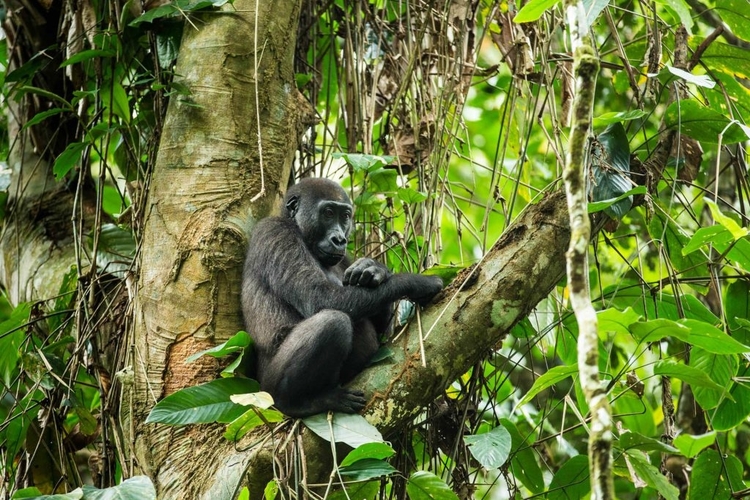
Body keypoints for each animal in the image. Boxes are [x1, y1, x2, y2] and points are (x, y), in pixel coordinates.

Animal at [242, 178, 446, 416]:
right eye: (329, 213)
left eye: (345, 216)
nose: (339, 239)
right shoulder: (276, 232)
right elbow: (321, 298)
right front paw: (417, 282)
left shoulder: (345, 258)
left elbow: (383, 330)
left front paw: (373, 269)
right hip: (264, 394)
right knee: (333, 322)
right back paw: (296, 402)